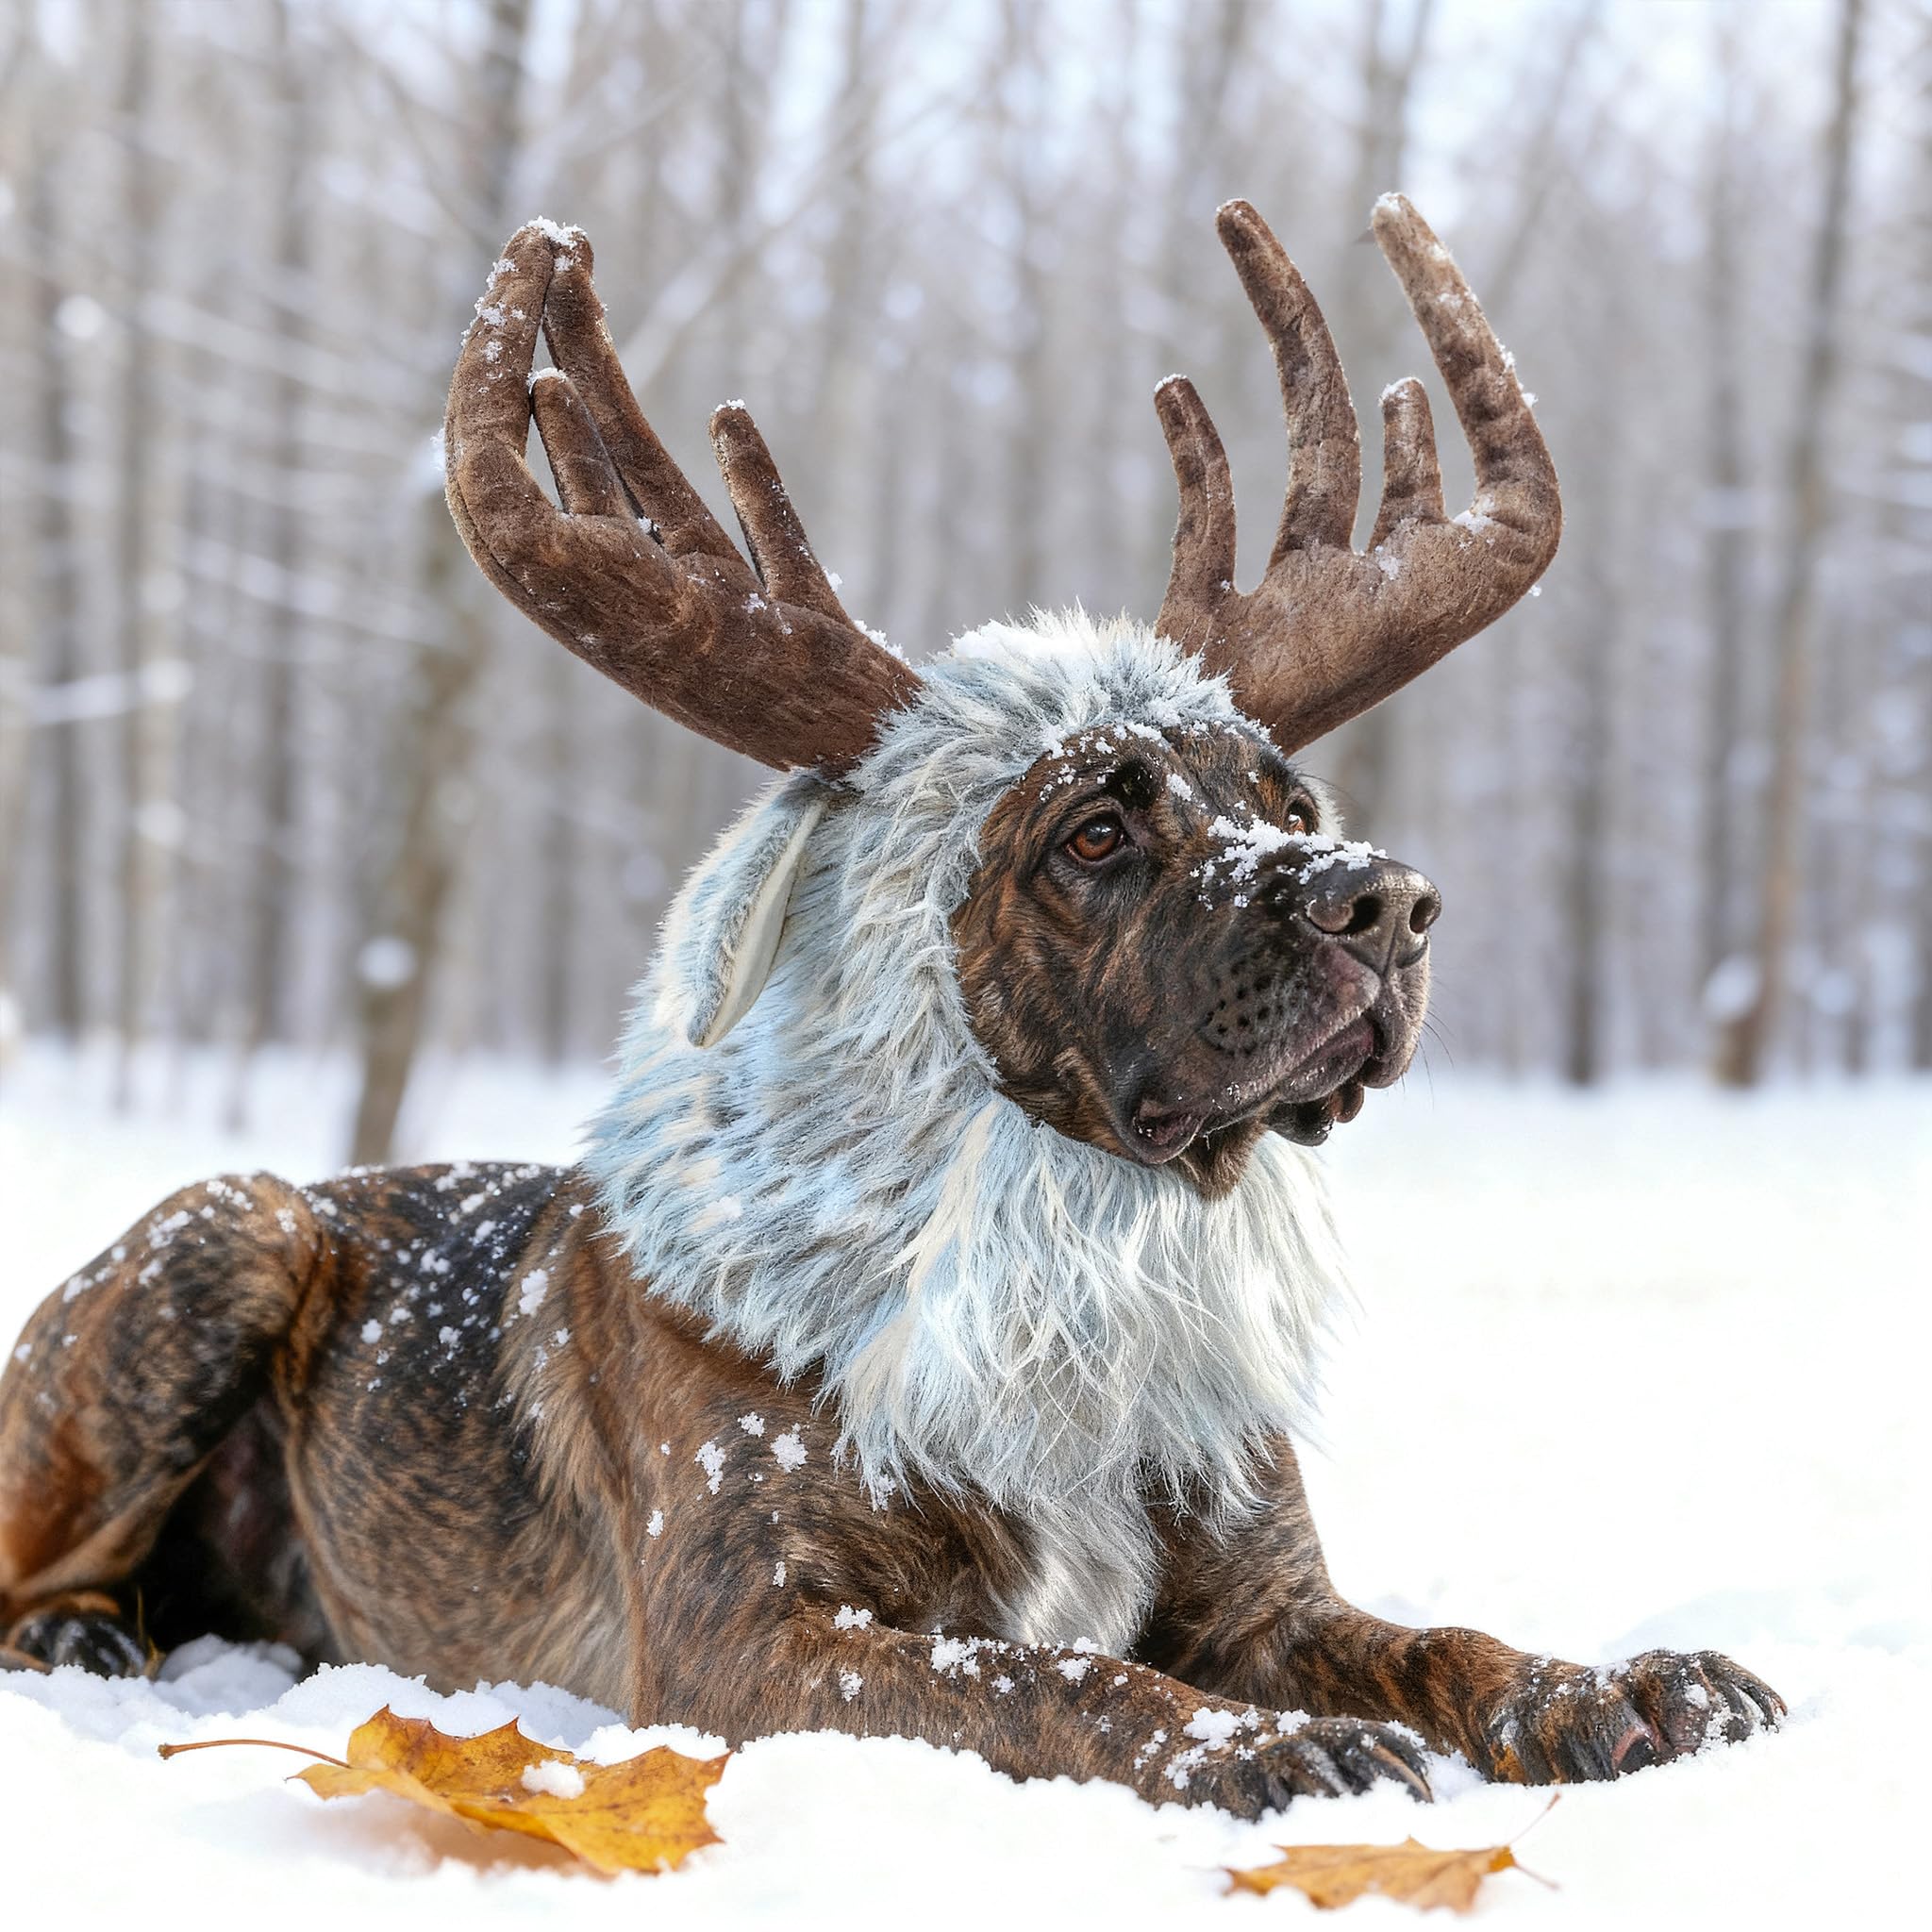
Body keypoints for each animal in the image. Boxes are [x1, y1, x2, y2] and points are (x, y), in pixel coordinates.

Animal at [0, 196, 1781, 1817]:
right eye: (1093, 831)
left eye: (1285, 797)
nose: (1386, 903)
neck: (1066, 1253)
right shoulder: (750, 1637)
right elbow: (1050, 1673)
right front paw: (1253, 1746)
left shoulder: (1268, 1591)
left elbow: (1433, 1640)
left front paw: (1615, 1682)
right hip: (225, 1233)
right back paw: (88, 1638)